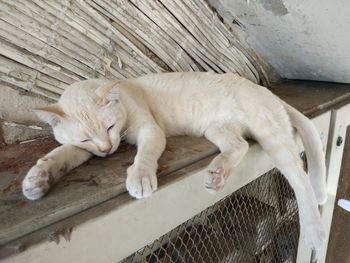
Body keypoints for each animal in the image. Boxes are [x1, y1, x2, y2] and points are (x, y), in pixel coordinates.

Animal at [22, 73, 328, 251]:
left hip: (270, 136)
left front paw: (140, 177)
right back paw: (217, 174)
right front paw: (37, 178)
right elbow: (59, 156)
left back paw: (314, 232)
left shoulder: (149, 130)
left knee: (300, 179)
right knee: (239, 145)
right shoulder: (81, 149)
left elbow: (145, 155)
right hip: (216, 129)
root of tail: (266, 91)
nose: (107, 150)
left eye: (109, 127)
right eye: (86, 139)